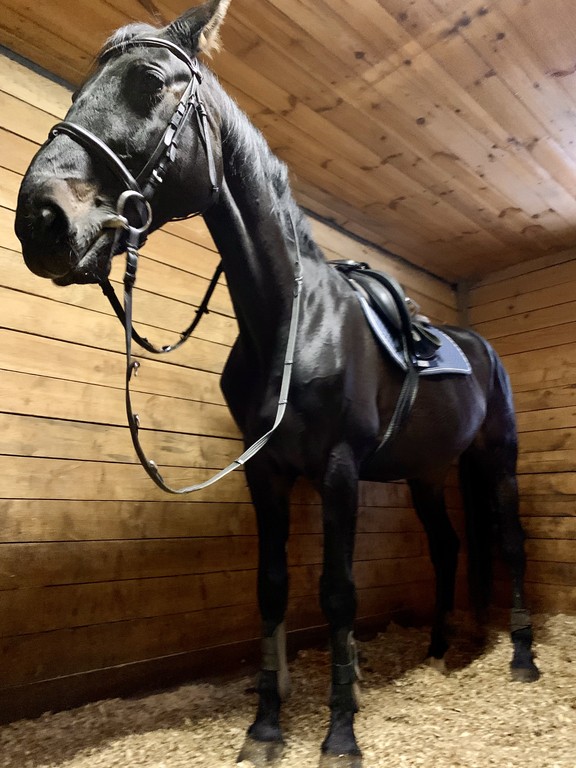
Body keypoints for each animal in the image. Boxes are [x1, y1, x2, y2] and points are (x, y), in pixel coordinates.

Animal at [14, 1, 539, 763]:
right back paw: (441, 648)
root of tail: (478, 346)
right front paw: (265, 727)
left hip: (496, 459)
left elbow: (338, 591)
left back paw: (522, 658)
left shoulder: (340, 471)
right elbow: (271, 587)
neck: (289, 322)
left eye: (148, 83)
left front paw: (341, 732)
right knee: (447, 546)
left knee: (509, 542)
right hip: (426, 472)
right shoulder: (266, 475)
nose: (40, 219)